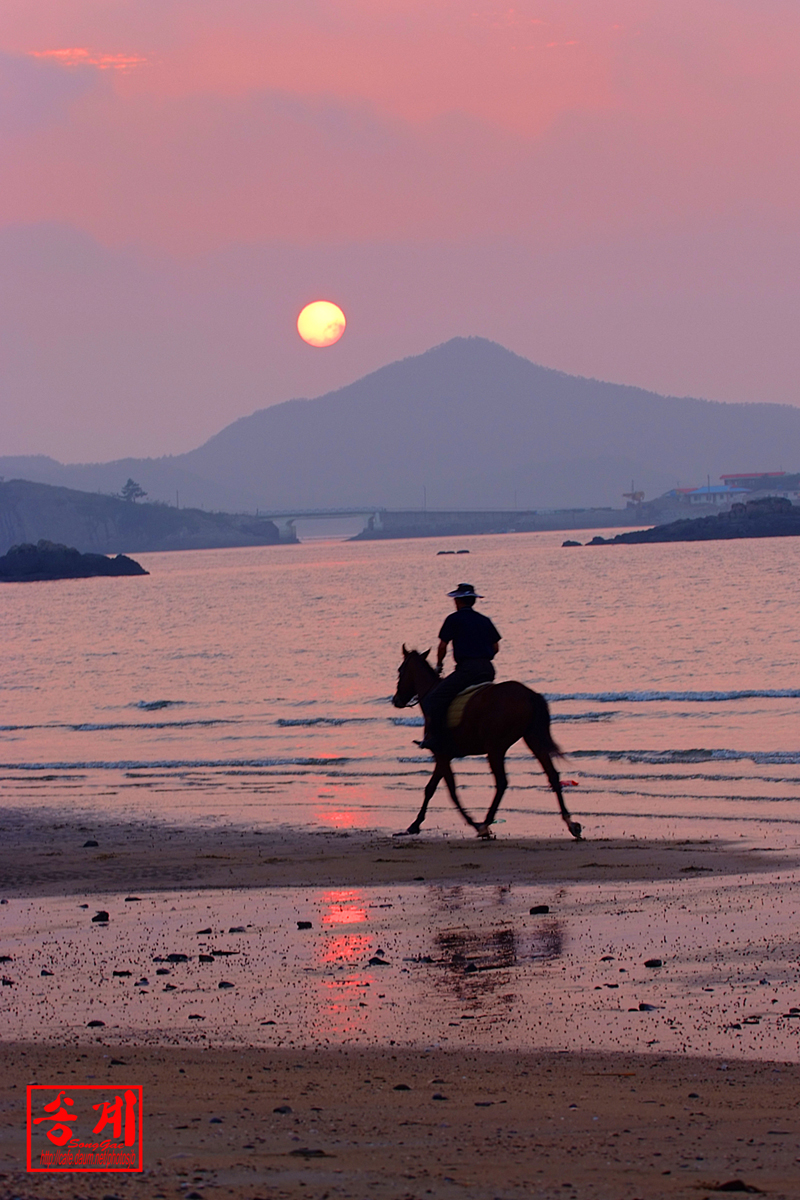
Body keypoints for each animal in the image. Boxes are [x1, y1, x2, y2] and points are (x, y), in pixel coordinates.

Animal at [393, 648, 582, 844]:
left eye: (400, 670)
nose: (396, 699)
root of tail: (529, 694)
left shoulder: (441, 755)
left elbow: (449, 791)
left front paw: (473, 824)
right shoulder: (444, 756)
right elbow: (431, 788)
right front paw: (415, 825)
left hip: (495, 747)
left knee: (502, 782)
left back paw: (485, 823)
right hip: (532, 738)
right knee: (552, 775)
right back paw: (570, 823)